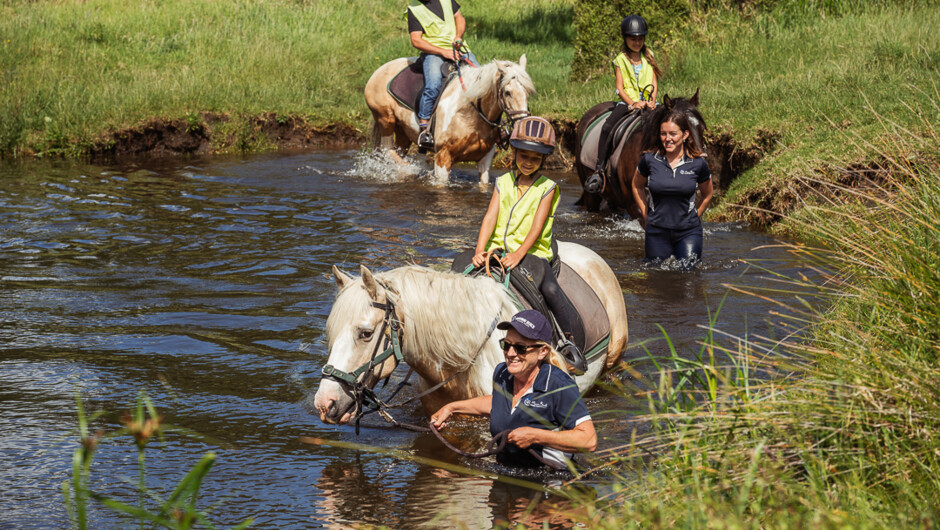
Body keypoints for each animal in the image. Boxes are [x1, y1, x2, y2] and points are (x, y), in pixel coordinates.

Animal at [362, 55, 532, 185]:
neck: (469, 113)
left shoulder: (485, 158)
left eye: (528, 92)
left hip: (403, 132)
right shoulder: (442, 157)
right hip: (386, 119)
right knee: (387, 151)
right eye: (508, 92)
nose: (522, 125)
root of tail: (381, 69)